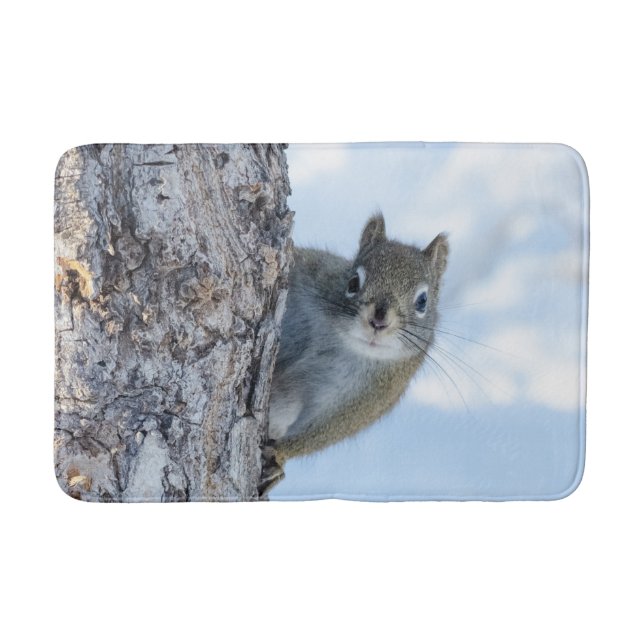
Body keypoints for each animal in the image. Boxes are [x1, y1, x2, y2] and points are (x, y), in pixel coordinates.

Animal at [259, 211, 449, 496]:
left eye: (423, 301)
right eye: (352, 282)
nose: (379, 320)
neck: (344, 343)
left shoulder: (370, 396)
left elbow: (328, 429)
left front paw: (280, 455)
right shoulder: (312, 273)